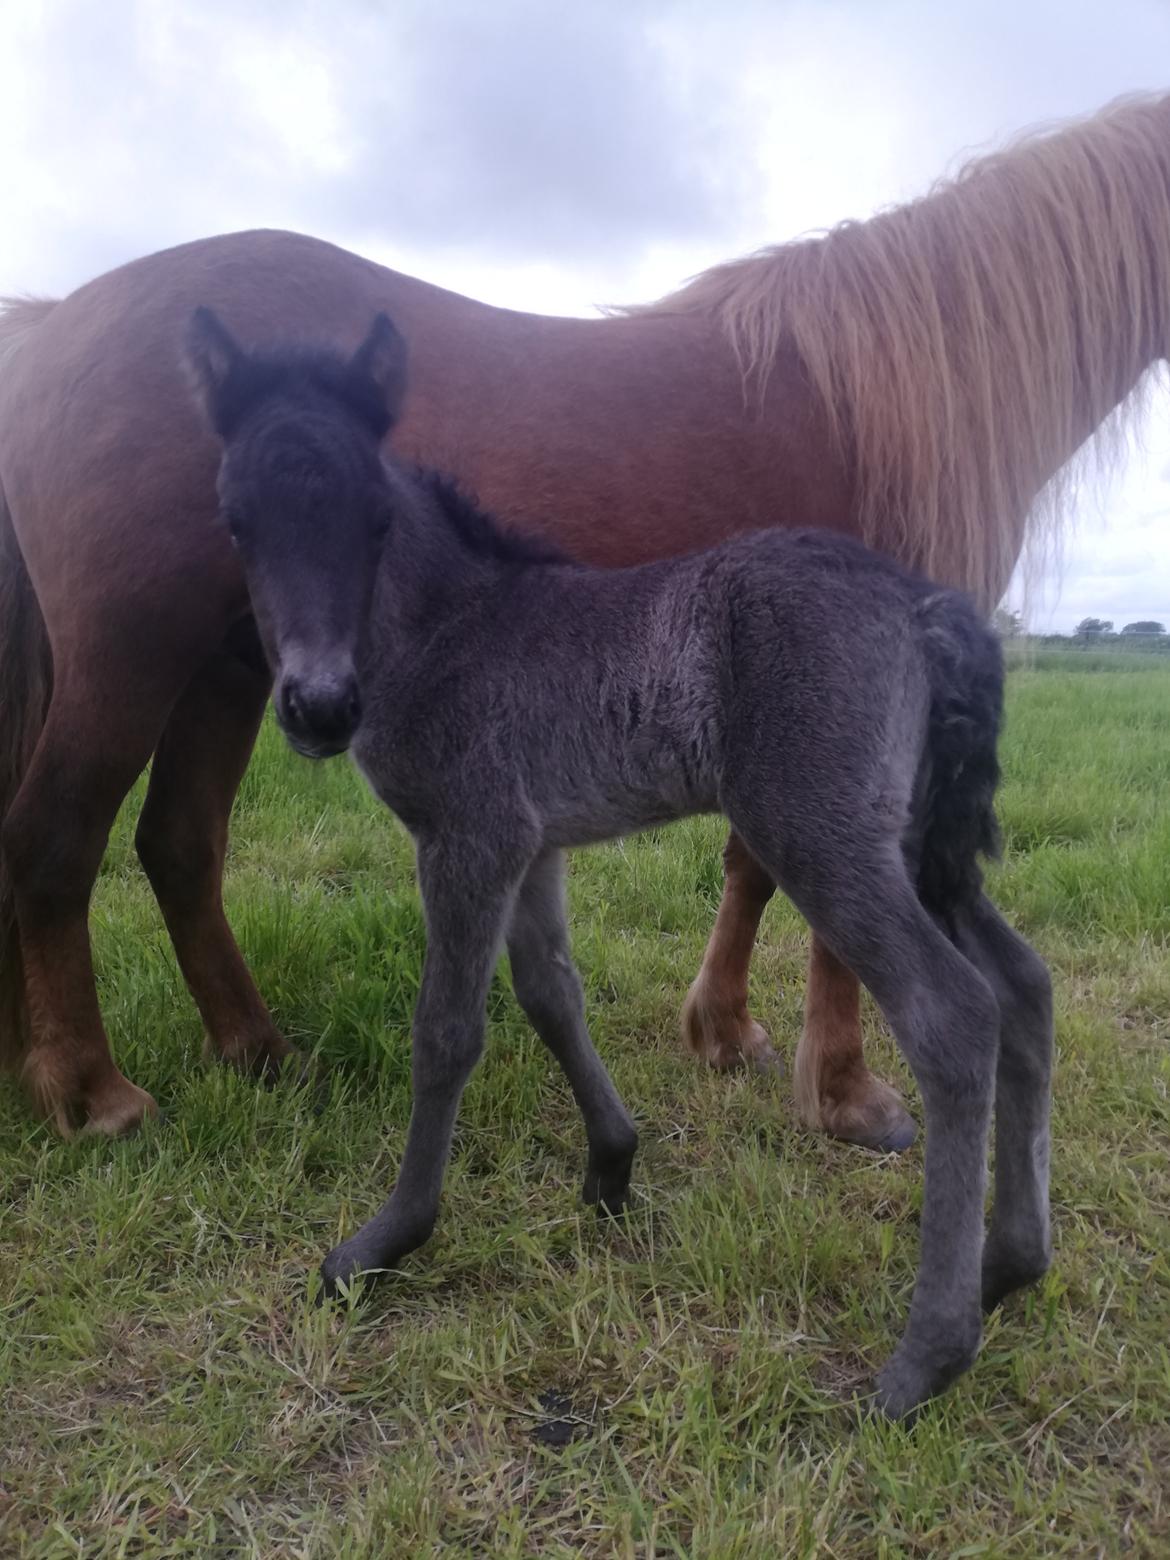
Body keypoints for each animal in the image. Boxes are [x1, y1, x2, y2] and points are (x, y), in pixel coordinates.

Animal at [187, 310, 1060, 1422]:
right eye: (236, 521)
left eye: (376, 520)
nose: (317, 707)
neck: (448, 625)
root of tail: (919, 602)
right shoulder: (532, 844)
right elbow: (552, 993)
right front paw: (610, 1169)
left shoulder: (468, 836)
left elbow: (448, 1032)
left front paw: (383, 1243)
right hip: (916, 844)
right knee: (1025, 986)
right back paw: (1011, 1267)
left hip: (821, 835)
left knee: (954, 1015)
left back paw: (926, 1359)